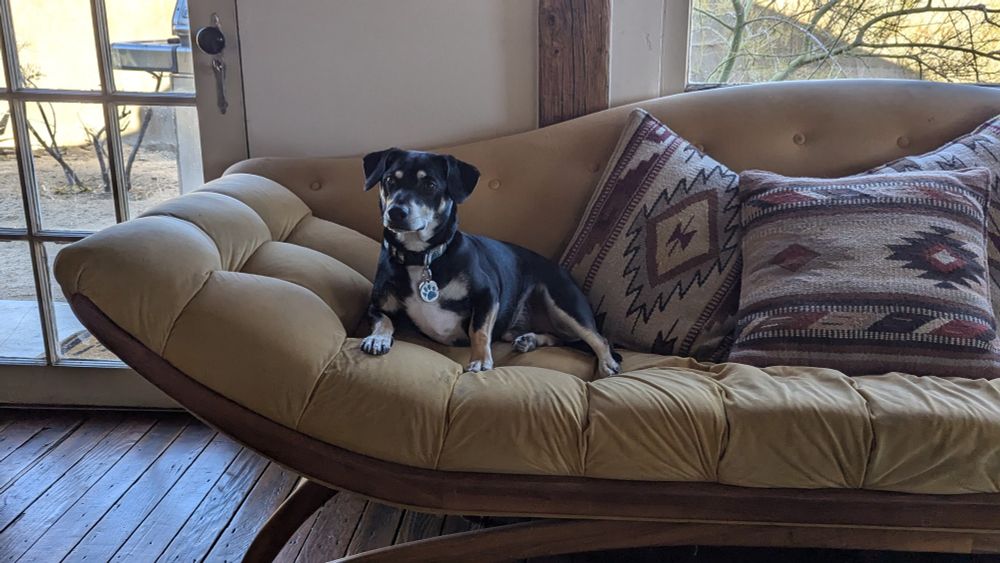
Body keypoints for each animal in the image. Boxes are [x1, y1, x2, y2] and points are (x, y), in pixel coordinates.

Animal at [358, 148, 621, 378]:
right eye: (389, 180)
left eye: (430, 185)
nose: (395, 212)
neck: (422, 258)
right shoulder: (377, 305)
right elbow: (383, 320)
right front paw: (377, 338)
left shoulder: (488, 295)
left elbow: (479, 331)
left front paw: (480, 361)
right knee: (561, 337)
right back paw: (530, 340)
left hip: (565, 303)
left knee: (597, 337)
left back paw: (607, 363)